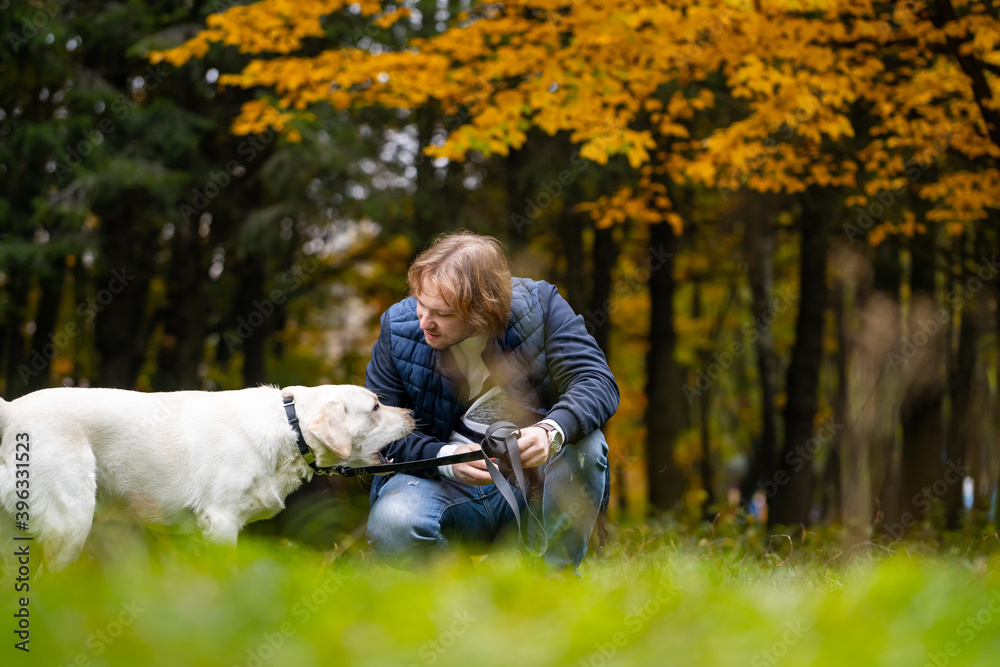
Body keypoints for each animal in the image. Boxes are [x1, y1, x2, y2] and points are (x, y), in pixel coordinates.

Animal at [0, 384, 414, 572]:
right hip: (71, 519)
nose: (412, 413)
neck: (288, 426)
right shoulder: (221, 520)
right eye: (375, 406)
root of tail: (10, 411)